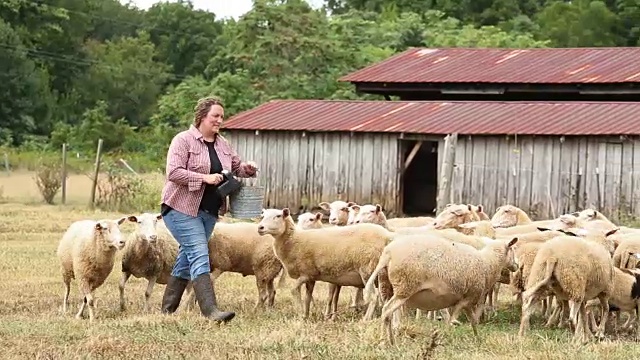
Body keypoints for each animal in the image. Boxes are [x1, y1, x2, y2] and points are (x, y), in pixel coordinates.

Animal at [255, 208, 396, 320]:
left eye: (278, 216)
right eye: (263, 215)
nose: (260, 228)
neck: (294, 240)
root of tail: (387, 236)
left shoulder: (306, 273)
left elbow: (294, 290)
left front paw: (300, 314)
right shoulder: (311, 277)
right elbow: (308, 297)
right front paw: (306, 315)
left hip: (368, 270)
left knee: (373, 296)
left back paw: (366, 319)